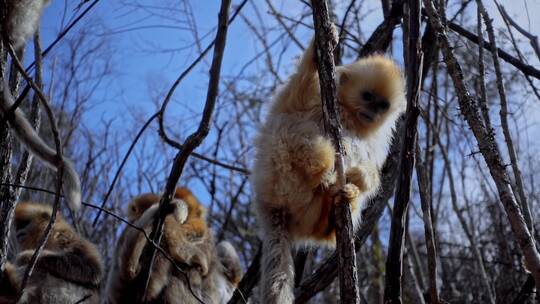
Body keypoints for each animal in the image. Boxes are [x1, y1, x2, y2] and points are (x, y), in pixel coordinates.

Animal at [253, 25, 404, 302]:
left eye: (382, 104)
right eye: (367, 96)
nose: (373, 112)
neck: (351, 116)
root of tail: (269, 207)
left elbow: (373, 169)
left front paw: (362, 176)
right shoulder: (310, 98)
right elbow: (293, 99)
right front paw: (319, 48)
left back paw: (336, 211)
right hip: (277, 174)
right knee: (289, 127)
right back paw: (324, 168)